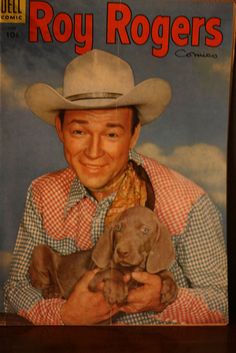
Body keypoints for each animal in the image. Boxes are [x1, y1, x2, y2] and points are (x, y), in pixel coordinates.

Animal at [29, 205, 177, 306]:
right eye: (118, 228)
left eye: (145, 230)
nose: (121, 252)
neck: (133, 268)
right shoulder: (93, 278)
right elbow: (112, 271)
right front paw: (116, 290)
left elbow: (163, 272)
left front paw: (171, 287)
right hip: (39, 250)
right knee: (42, 281)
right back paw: (51, 290)